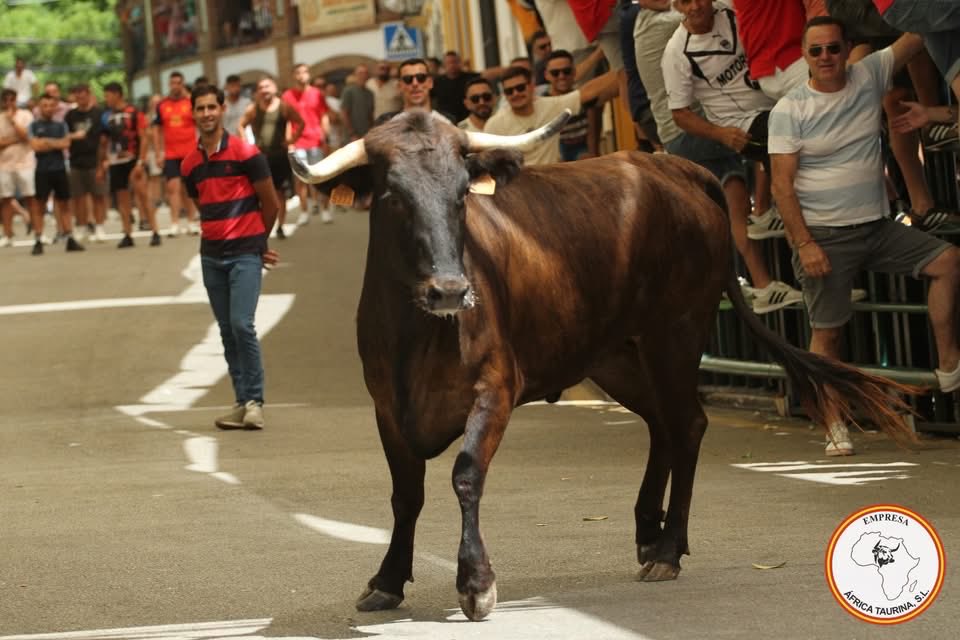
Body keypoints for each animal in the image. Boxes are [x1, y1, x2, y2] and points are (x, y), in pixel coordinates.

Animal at [290, 109, 916, 621]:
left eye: (463, 193)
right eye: (392, 195)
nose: (449, 290)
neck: (419, 333)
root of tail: (670, 167)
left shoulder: (495, 387)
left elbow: (465, 473)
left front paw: (477, 583)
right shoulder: (386, 405)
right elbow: (405, 495)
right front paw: (387, 580)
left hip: (676, 333)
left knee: (687, 424)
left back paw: (668, 549)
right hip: (617, 356)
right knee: (663, 424)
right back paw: (649, 532)